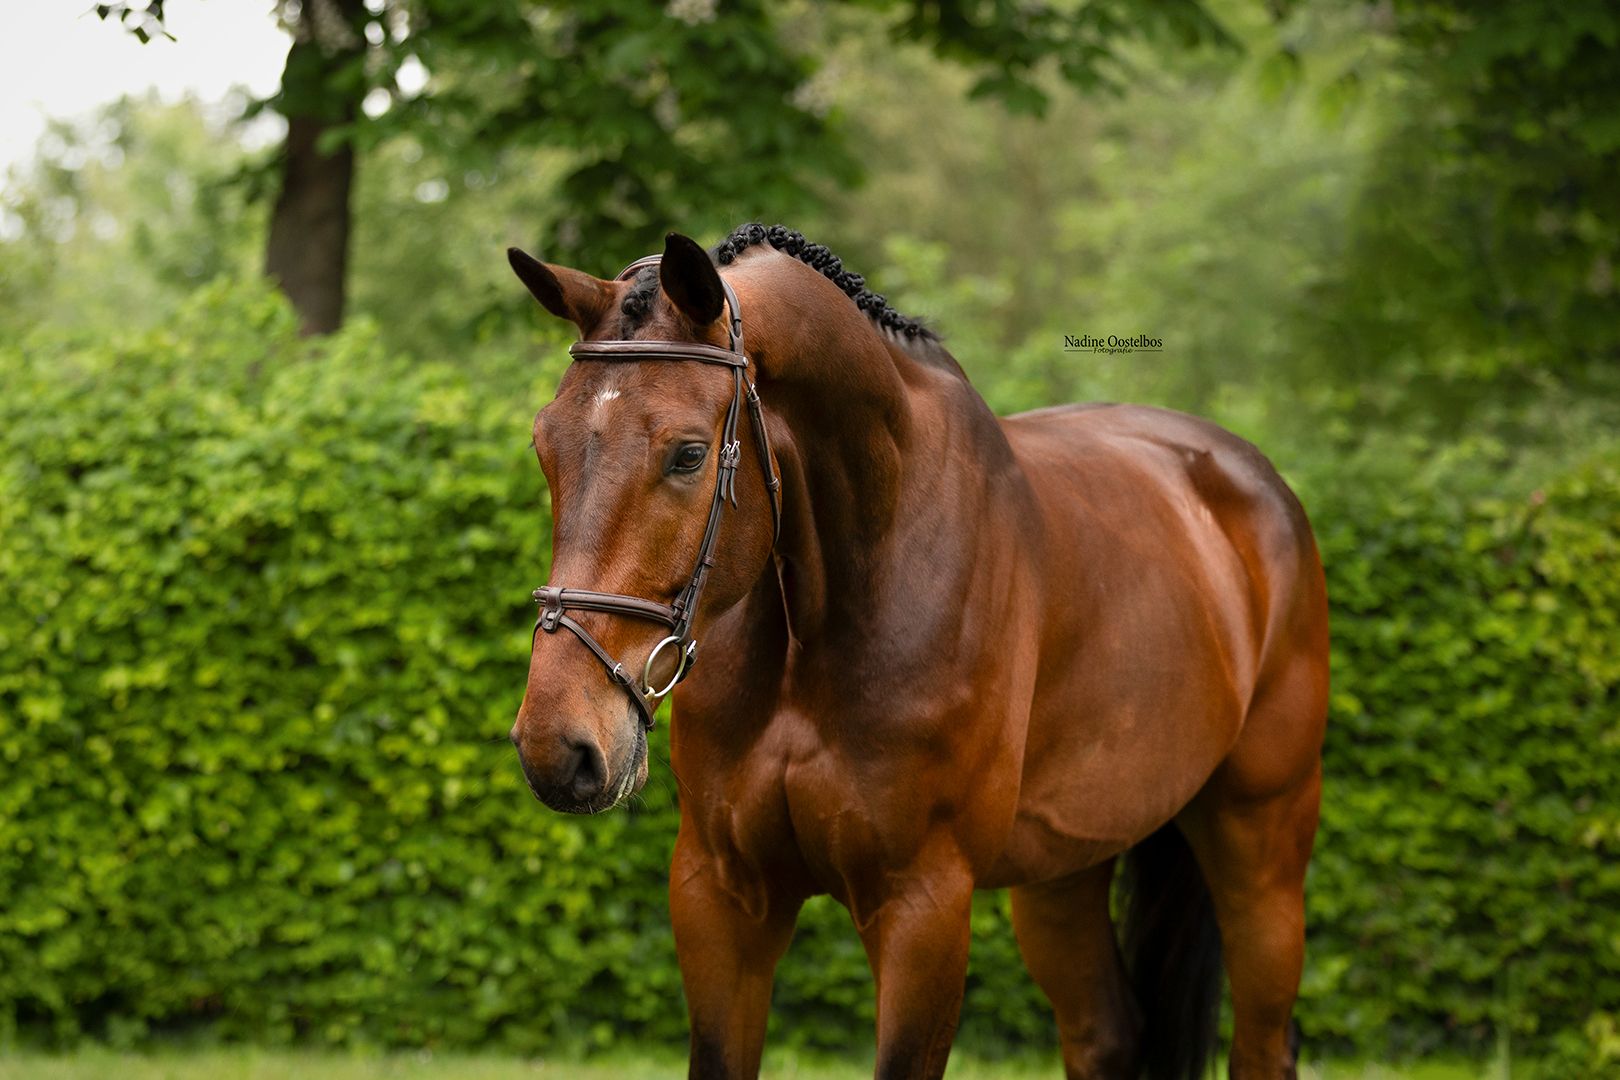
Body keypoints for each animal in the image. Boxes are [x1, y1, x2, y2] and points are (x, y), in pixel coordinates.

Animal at [505, 223, 1329, 1080]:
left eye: (689, 454)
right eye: (543, 444)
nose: (558, 746)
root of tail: (1253, 484)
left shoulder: (923, 905)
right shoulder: (721, 893)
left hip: (1261, 850)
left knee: (1263, 1041)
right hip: (1064, 874)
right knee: (1108, 1032)